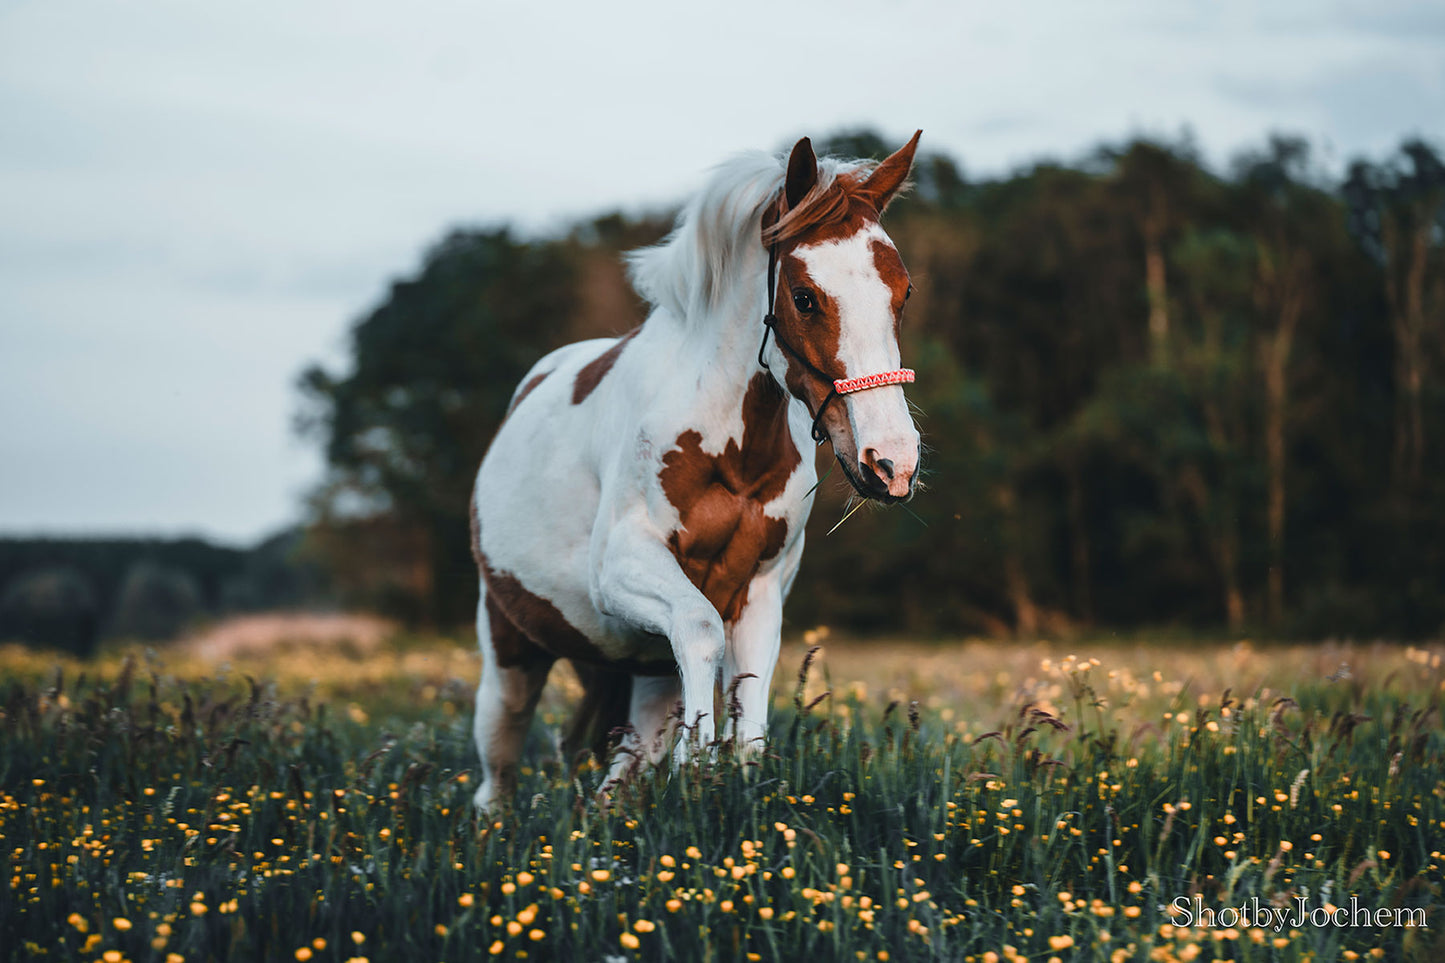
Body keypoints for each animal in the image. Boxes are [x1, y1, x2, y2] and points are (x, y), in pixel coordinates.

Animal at [473, 133, 924, 809]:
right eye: (804, 297)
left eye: (902, 293)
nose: (892, 461)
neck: (730, 446)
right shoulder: (621, 566)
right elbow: (702, 628)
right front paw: (696, 764)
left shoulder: (762, 588)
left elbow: (749, 709)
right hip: (511, 655)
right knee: (496, 779)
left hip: (640, 667)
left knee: (618, 775)